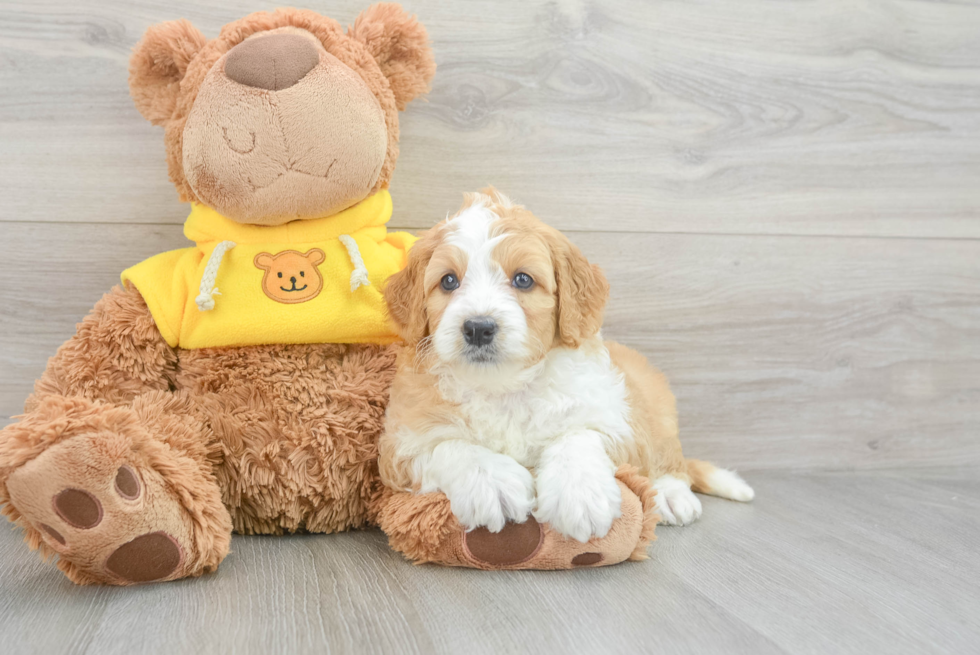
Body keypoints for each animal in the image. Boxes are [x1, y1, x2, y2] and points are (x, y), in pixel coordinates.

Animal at [378, 190, 756, 544]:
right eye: (448, 281)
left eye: (523, 280)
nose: (478, 328)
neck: (504, 388)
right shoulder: (399, 445)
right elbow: (446, 445)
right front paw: (492, 481)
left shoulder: (613, 418)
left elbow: (579, 434)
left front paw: (580, 494)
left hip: (655, 403)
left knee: (668, 456)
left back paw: (672, 494)